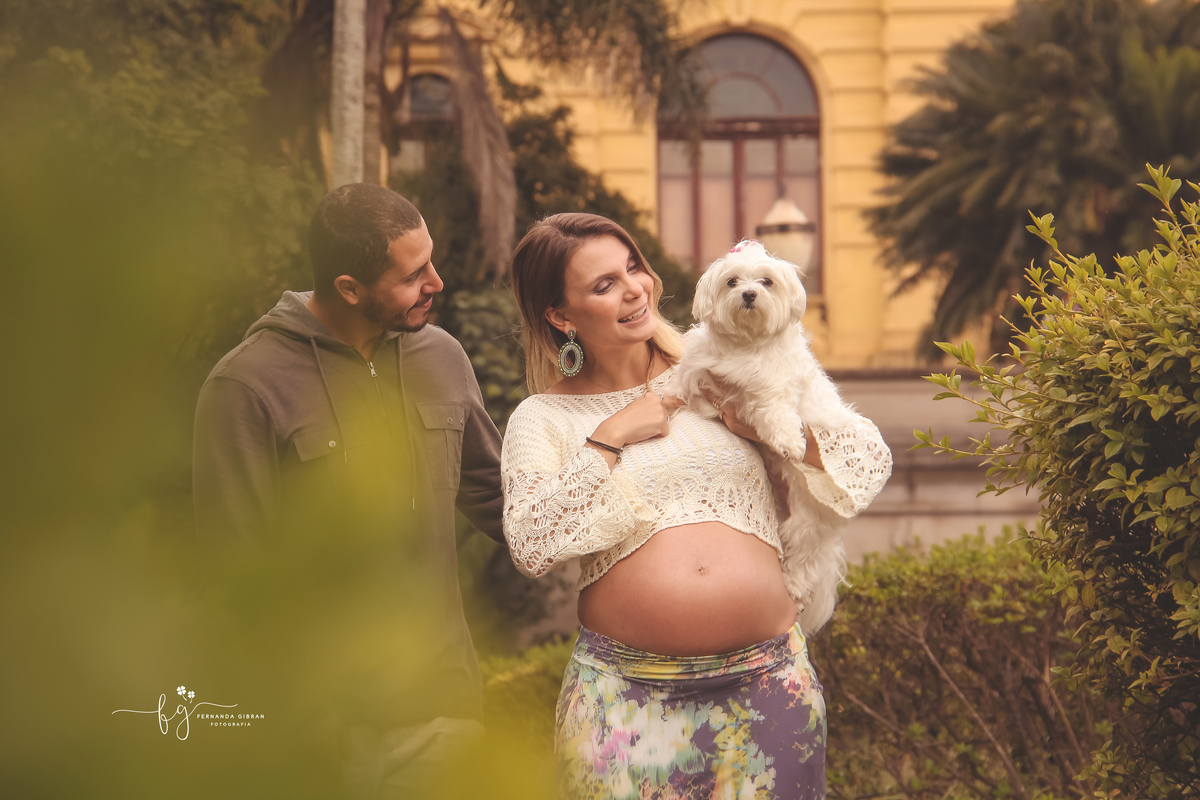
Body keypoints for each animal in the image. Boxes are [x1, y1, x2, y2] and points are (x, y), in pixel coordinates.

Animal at [666, 239, 859, 633]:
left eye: (767, 281)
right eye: (732, 281)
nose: (750, 294)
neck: (746, 344)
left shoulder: (773, 387)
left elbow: (775, 413)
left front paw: (790, 443)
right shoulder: (698, 369)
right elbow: (685, 387)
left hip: (808, 522)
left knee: (807, 558)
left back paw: (795, 586)